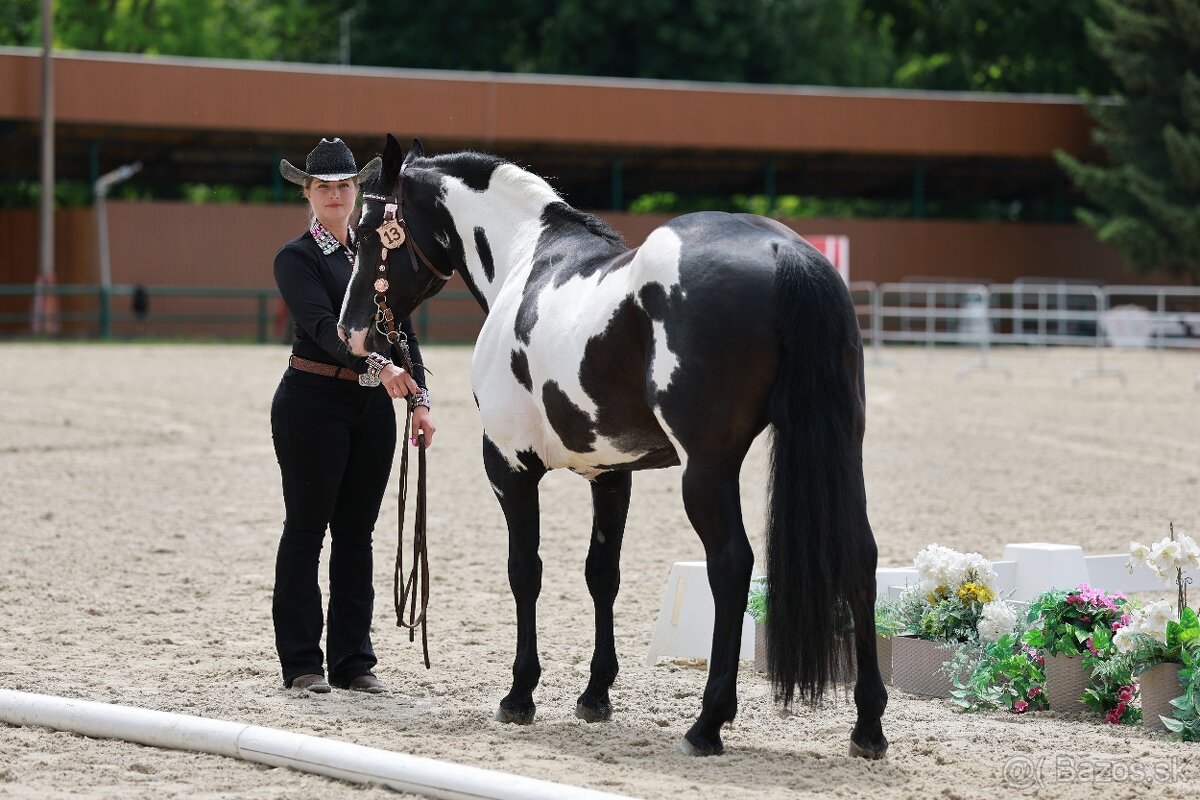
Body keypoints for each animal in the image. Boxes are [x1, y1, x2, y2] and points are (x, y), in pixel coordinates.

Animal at [338, 134, 887, 758]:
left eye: (366, 231)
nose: (352, 332)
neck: (528, 258)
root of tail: (783, 252)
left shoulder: (508, 464)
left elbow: (524, 571)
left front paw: (519, 695)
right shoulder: (611, 473)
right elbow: (602, 573)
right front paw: (595, 694)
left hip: (707, 470)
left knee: (731, 564)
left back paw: (707, 724)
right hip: (842, 451)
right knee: (860, 557)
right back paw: (868, 727)